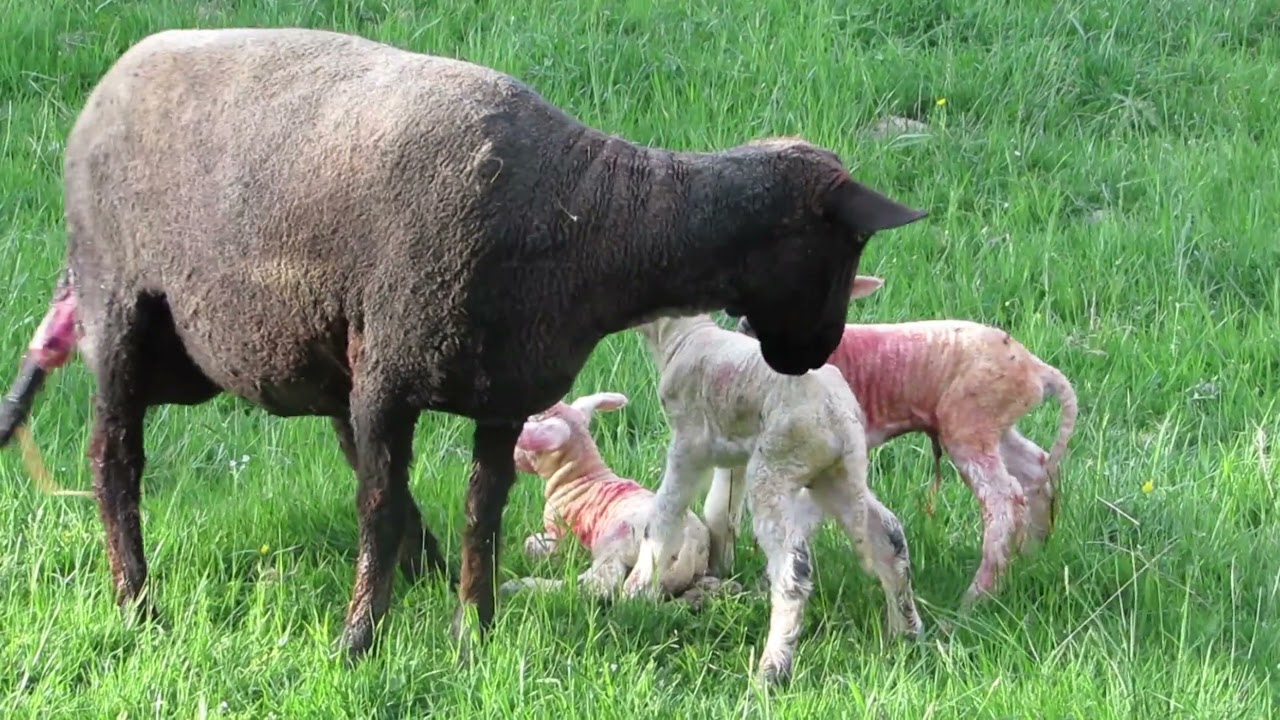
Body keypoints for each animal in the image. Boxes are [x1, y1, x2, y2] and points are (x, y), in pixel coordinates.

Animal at [499, 386, 737, 599]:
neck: (581, 476)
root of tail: (690, 547)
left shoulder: (560, 532)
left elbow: (537, 543)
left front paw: (534, 549)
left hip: (616, 543)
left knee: (597, 585)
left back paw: (521, 586)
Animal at [627, 311, 921, 681]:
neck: (684, 338)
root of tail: (838, 414)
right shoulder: (731, 451)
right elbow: (719, 513)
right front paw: (718, 567)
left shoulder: (688, 443)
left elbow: (665, 513)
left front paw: (637, 589)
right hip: (835, 475)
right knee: (888, 536)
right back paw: (905, 632)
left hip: (776, 466)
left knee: (793, 568)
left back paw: (773, 670)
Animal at [732, 274, 1080, 604]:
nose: (748, 326)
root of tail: (1036, 369)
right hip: (996, 424)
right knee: (1036, 469)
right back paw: (1031, 557)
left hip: (969, 421)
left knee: (1004, 499)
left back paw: (974, 599)